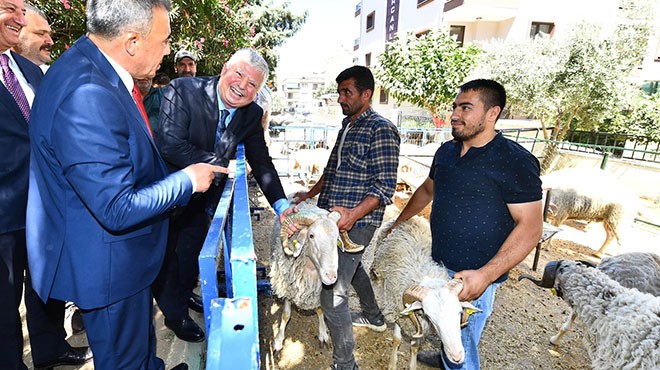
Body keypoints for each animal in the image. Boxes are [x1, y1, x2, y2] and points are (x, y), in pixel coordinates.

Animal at [372, 217, 474, 370]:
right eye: (430, 316)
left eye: (459, 312)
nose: (457, 357)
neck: (426, 277)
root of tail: (413, 218)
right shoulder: (398, 312)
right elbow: (396, 339)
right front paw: (392, 363)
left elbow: (415, 347)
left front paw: (413, 364)